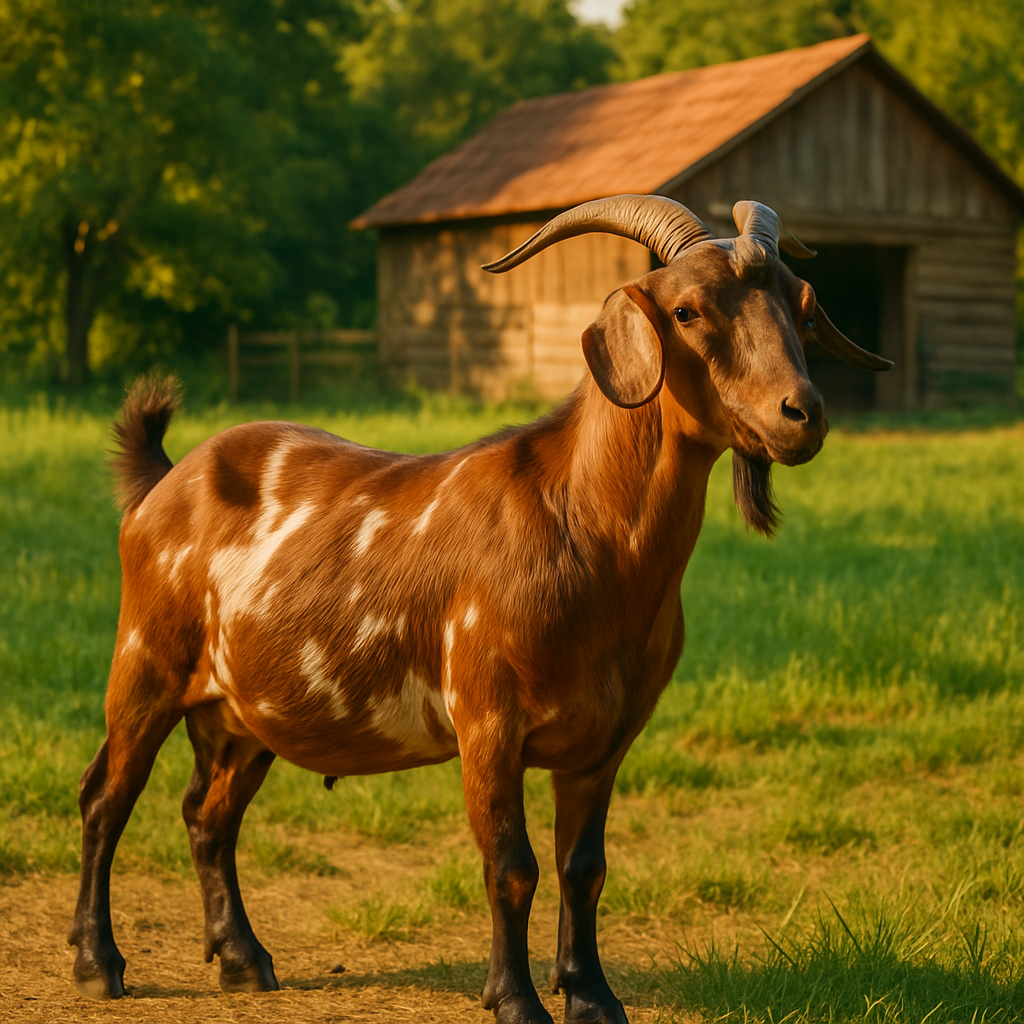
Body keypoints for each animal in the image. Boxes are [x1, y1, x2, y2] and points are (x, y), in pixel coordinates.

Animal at [68, 195, 891, 1024]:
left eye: (802, 304)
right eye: (687, 310)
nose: (801, 414)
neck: (580, 526)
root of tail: (164, 480)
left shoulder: (607, 738)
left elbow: (584, 868)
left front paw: (591, 995)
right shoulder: (488, 721)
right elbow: (511, 866)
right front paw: (516, 1000)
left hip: (238, 713)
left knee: (208, 816)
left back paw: (242, 958)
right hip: (146, 664)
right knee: (106, 798)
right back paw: (99, 962)